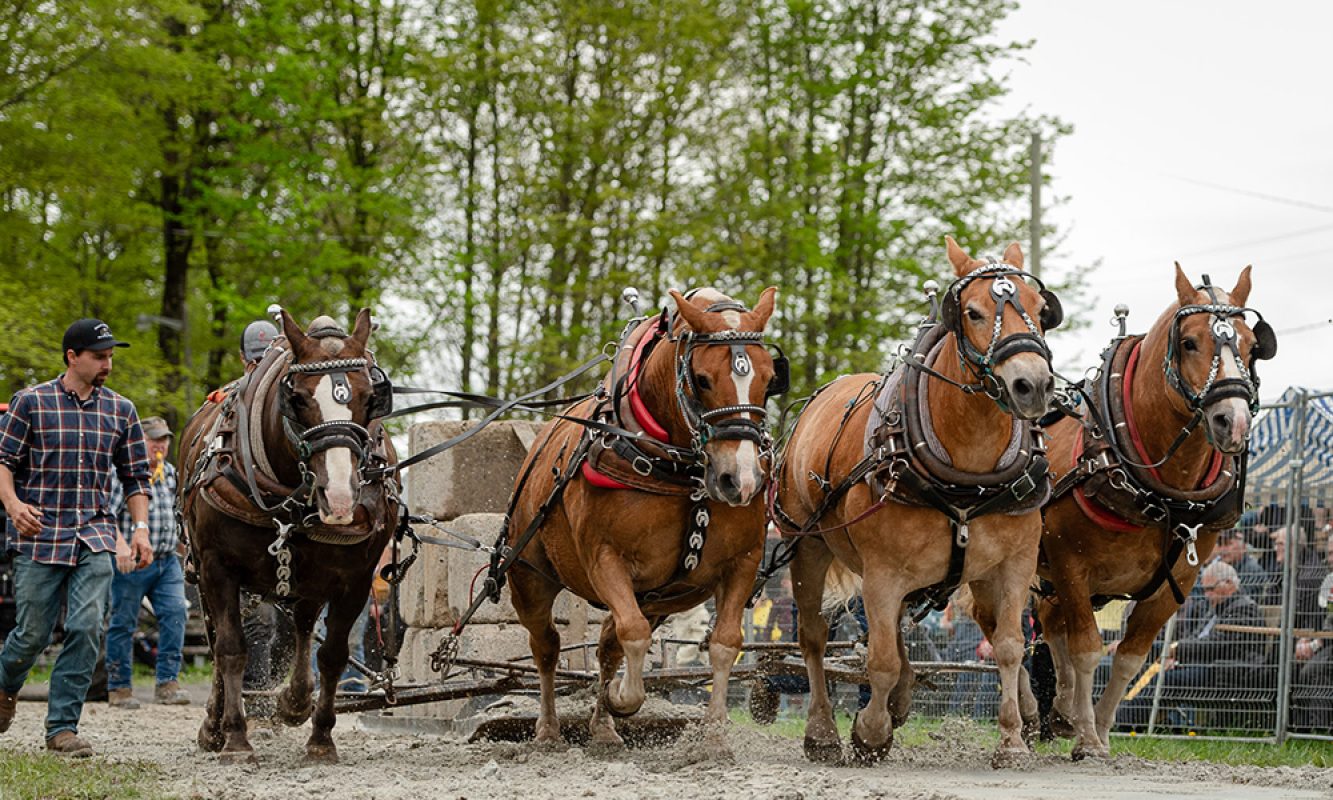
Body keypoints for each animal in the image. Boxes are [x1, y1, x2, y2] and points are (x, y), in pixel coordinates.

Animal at [178, 308, 400, 764]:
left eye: (369, 396)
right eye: (297, 398)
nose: (339, 497)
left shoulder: (356, 577)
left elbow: (332, 655)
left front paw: (321, 737)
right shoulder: (217, 568)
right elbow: (232, 648)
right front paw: (235, 737)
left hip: (310, 579)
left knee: (302, 626)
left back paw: (295, 701)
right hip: (203, 574)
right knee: (215, 640)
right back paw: (214, 724)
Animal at [502, 287, 784, 752]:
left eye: (769, 377)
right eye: (702, 379)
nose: (740, 480)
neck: (684, 472)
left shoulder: (742, 563)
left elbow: (725, 643)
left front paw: (713, 736)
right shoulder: (604, 559)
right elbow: (633, 633)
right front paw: (624, 698)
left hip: (656, 598)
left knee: (605, 645)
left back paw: (602, 726)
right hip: (528, 577)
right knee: (547, 646)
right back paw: (548, 729)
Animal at [772, 237, 1063, 767]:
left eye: (1038, 308)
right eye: (971, 312)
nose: (1031, 385)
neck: (968, 474)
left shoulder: (1014, 563)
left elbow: (1011, 646)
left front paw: (1011, 740)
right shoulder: (882, 572)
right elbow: (881, 658)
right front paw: (869, 732)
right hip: (808, 547)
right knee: (816, 638)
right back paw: (823, 732)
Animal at [1035, 264, 1276, 759]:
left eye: (1250, 345)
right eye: (1189, 342)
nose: (1234, 422)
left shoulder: (1176, 580)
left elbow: (1129, 657)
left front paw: (1097, 727)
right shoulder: (1070, 567)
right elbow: (1087, 648)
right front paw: (1088, 737)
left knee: (1050, 625)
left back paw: (1062, 710)